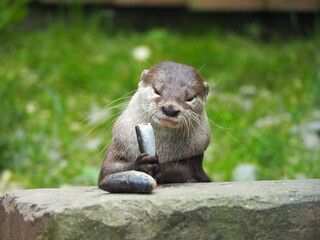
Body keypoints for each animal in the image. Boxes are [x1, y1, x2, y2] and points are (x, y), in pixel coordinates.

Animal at [99, 61, 211, 193]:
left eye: (190, 98)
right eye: (157, 91)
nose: (170, 109)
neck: (163, 149)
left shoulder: (195, 159)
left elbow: (186, 172)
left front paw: (160, 167)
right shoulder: (119, 145)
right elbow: (108, 169)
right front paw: (140, 164)